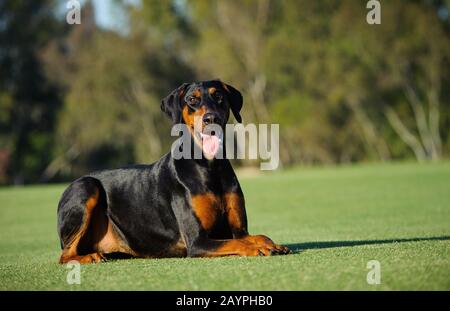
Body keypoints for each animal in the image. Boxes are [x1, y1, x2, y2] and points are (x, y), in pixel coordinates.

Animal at [56, 80, 290, 264]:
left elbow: (255, 236)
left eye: (219, 96)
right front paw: (257, 248)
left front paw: (271, 243)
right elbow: (237, 243)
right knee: (65, 255)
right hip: (86, 186)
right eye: (192, 99)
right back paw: (89, 257)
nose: (211, 119)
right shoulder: (197, 241)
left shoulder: (239, 230)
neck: (209, 166)